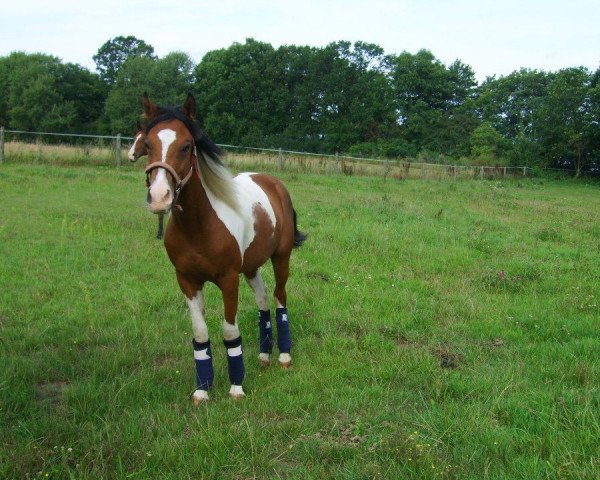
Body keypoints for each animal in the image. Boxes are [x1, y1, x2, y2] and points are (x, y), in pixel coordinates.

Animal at [143, 93, 308, 402]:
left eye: (186, 146)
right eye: (147, 144)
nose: (160, 197)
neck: (199, 226)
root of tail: (274, 182)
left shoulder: (229, 280)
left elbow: (230, 332)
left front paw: (236, 387)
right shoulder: (187, 281)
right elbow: (200, 334)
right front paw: (202, 389)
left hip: (281, 258)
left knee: (279, 298)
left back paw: (284, 357)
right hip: (252, 266)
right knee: (263, 301)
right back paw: (265, 355)